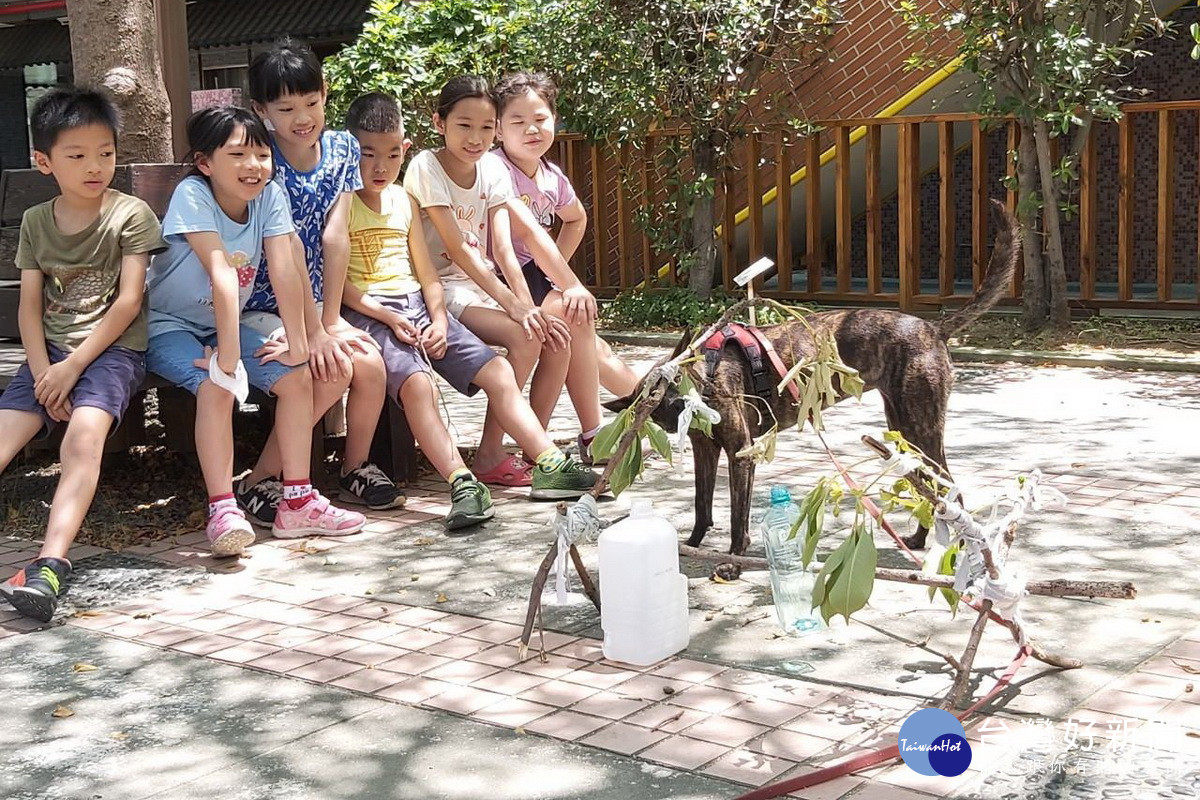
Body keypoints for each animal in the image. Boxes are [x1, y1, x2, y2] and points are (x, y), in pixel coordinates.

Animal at [609, 199, 1012, 575]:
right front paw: (692, 544)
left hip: (921, 429)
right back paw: (918, 539)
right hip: (903, 431)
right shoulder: (704, 452)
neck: (709, 368)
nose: (690, 410)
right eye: (659, 408)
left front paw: (734, 562)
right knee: (930, 488)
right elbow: (701, 504)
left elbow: (739, 519)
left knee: (950, 491)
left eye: (677, 384)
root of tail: (933, 328)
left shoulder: (741, 453)